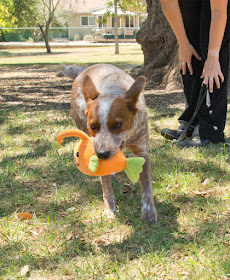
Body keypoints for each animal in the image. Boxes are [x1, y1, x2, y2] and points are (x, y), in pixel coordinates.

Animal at [58, 64, 157, 223]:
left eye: (117, 124)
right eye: (93, 126)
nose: (102, 154)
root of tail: (84, 70)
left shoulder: (142, 150)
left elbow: (146, 184)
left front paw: (148, 211)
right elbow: (106, 186)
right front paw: (110, 208)